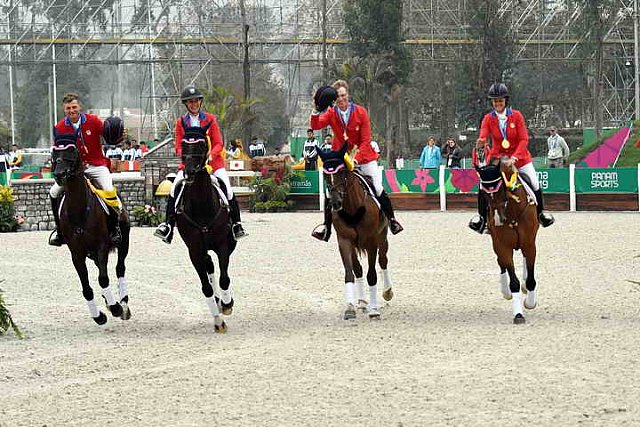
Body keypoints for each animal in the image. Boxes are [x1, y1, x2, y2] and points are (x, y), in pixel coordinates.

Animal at [51, 136, 131, 324]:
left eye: (72, 153)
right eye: (54, 154)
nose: (59, 175)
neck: (79, 209)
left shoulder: (101, 246)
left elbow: (103, 279)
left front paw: (115, 308)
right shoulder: (76, 253)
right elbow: (86, 287)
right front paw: (98, 316)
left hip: (123, 242)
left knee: (119, 268)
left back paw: (122, 304)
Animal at [176, 134, 236, 334]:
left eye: (201, 146)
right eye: (183, 146)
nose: (189, 172)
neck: (202, 204)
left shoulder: (222, 245)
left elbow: (224, 279)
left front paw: (227, 304)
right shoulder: (194, 251)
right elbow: (206, 288)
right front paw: (218, 321)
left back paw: (223, 302)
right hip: (202, 250)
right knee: (209, 266)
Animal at [318, 145, 392, 320]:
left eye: (342, 173)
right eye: (325, 175)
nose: (336, 203)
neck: (353, 209)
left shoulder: (372, 241)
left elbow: (372, 275)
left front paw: (374, 310)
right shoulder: (344, 241)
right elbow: (350, 273)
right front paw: (350, 307)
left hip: (382, 238)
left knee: (383, 261)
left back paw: (387, 292)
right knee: (358, 269)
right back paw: (362, 302)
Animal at [480, 157, 540, 324]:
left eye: (500, 188)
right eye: (483, 193)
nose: (497, 220)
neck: (512, 212)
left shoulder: (529, 243)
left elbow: (531, 278)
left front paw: (530, 303)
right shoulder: (503, 246)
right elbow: (513, 281)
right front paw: (518, 314)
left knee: (525, 261)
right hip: (496, 243)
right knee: (501, 263)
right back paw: (505, 291)